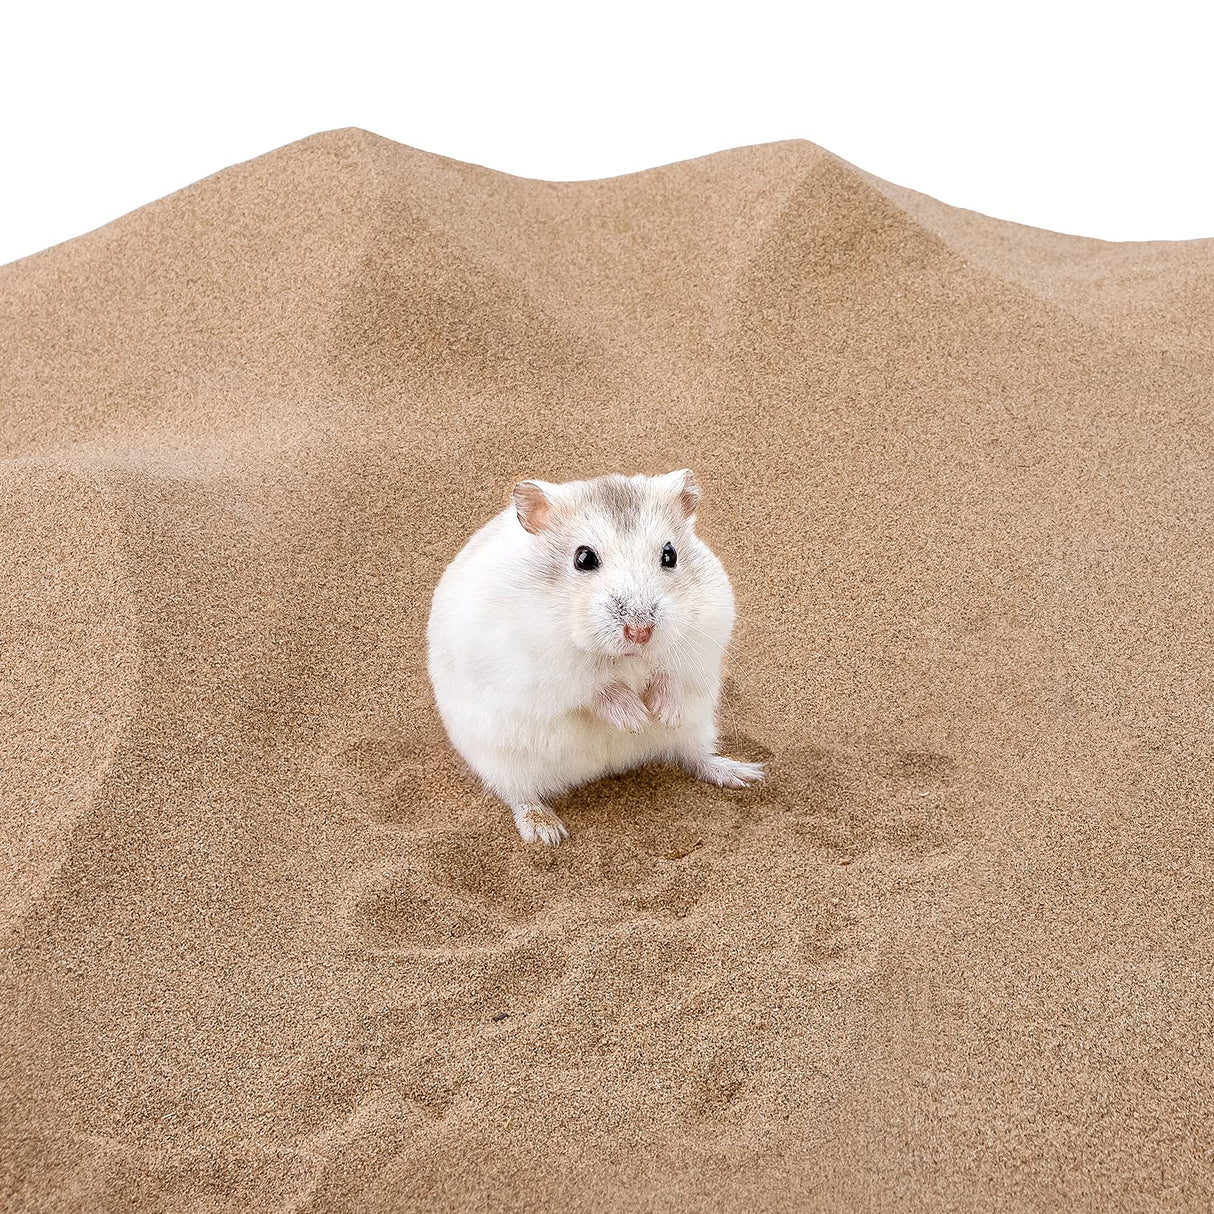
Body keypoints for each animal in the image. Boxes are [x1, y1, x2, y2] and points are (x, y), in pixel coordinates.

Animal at [425, 470, 763, 845]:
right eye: (583, 558)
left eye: (670, 554)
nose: (640, 631)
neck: (626, 657)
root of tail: (607, 767)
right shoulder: (544, 668)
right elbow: (594, 689)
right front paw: (636, 719)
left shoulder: (702, 637)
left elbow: (669, 673)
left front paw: (663, 715)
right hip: (501, 759)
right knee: (519, 795)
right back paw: (547, 832)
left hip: (698, 727)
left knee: (695, 758)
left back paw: (743, 773)